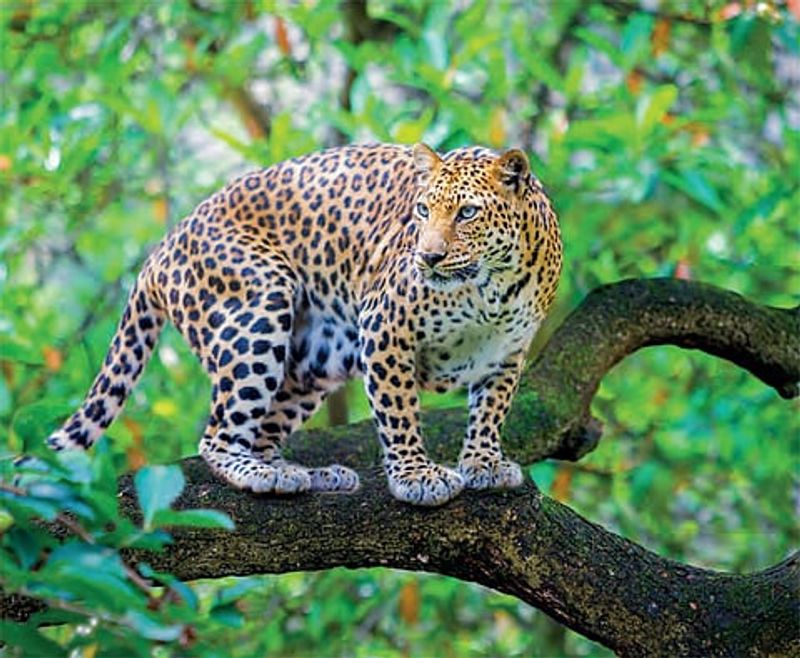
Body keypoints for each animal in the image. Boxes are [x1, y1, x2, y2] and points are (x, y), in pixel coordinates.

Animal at [47, 141, 564, 504]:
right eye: (422, 211)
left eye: (468, 212)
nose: (428, 257)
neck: (492, 286)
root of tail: (162, 248)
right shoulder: (384, 327)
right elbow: (399, 410)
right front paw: (416, 476)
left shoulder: (507, 353)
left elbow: (491, 411)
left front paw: (484, 463)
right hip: (258, 311)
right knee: (218, 437)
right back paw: (262, 474)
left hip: (313, 362)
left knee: (261, 432)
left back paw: (307, 475)